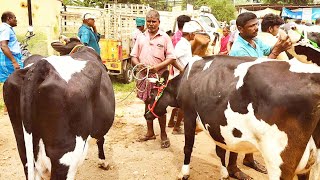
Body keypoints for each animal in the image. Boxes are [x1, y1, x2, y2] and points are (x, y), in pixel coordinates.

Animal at [144, 51, 320, 179]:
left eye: (152, 95)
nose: (146, 115)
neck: (186, 79)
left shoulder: (189, 115)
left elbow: (188, 147)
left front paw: (184, 173)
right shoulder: (216, 124)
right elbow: (220, 150)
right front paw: (224, 174)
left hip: (278, 159)